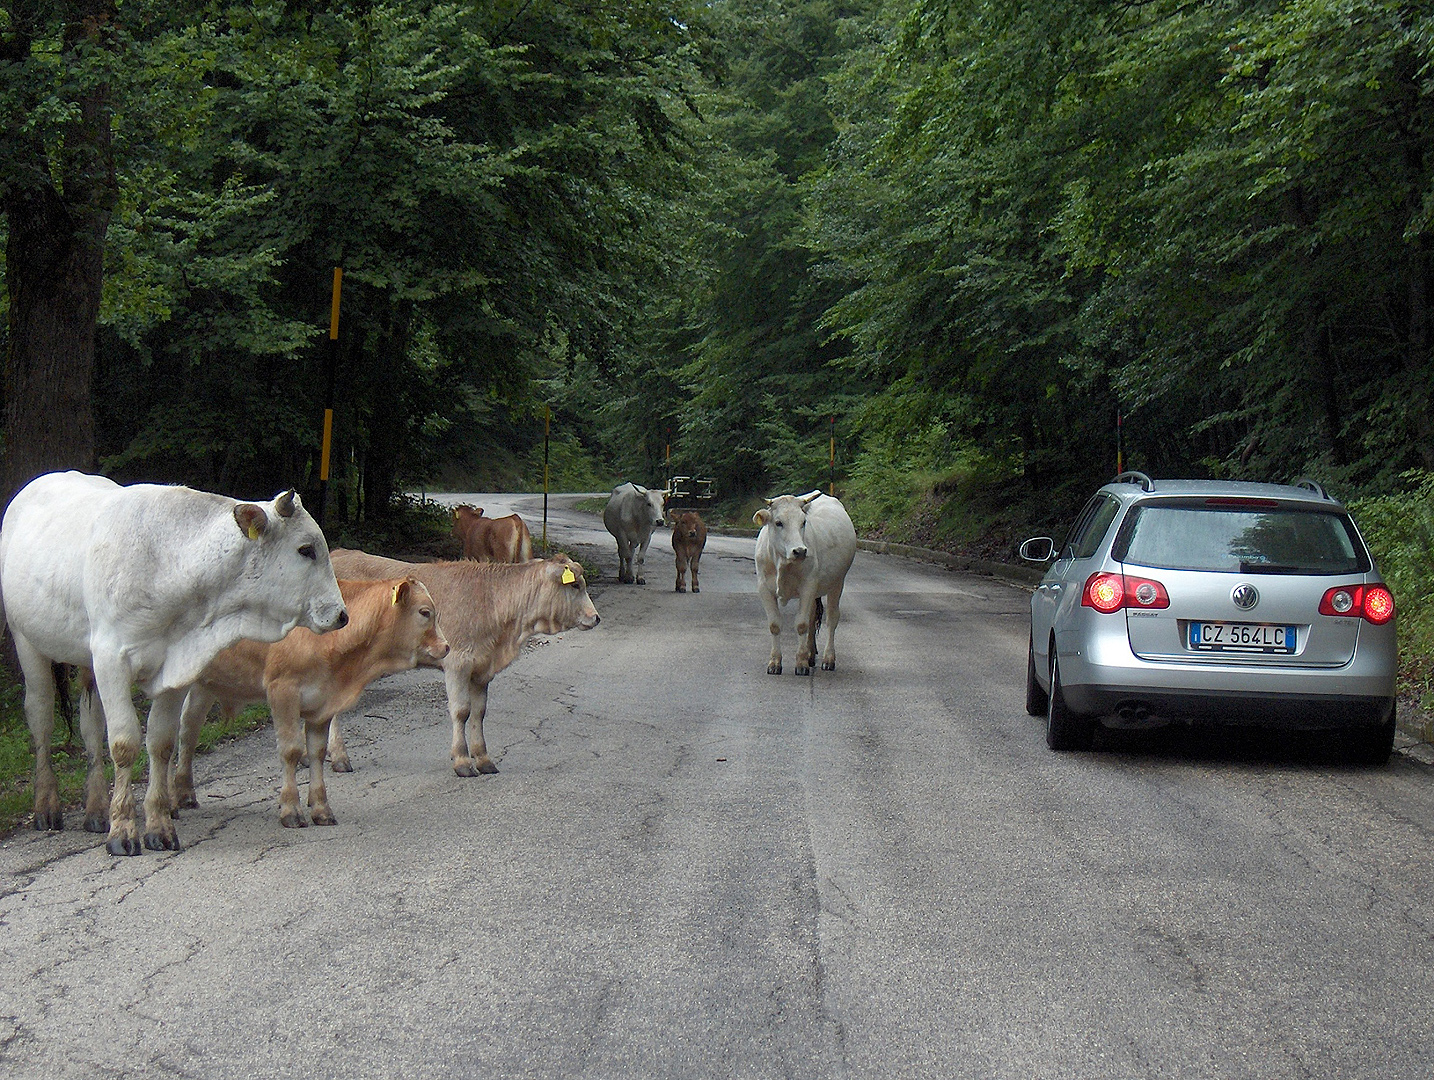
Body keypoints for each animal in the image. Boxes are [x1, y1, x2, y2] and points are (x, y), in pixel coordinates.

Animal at [0, 467, 347, 854]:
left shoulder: (174, 672)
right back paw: (46, 806)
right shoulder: (111, 659)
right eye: (306, 550)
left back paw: (96, 810)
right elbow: (124, 743)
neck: (170, 568)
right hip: (27, 642)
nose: (341, 615)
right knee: (41, 718)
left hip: (86, 662)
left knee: (90, 728)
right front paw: (123, 829)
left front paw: (158, 825)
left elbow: (161, 743)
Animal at [171, 576, 447, 831]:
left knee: (189, 731)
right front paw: (291, 810)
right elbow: (291, 751)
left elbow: (317, 752)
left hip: (203, 685)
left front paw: (321, 809)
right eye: (425, 612)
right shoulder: (283, 691)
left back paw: (184, 793)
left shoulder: (323, 702)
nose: (446, 647)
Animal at [329, 547, 599, 774]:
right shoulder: (457, 663)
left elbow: (479, 712)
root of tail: (339, 553)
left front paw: (483, 758)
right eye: (575, 585)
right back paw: (340, 757)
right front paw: (462, 760)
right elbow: (461, 711)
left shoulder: (482, 668)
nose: (596, 618)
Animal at [757, 490, 854, 674]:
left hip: (837, 582)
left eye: (803, 522)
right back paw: (810, 654)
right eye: (778, 522)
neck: (783, 563)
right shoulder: (764, 588)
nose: (800, 551)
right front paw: (775, 662)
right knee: (812, 616)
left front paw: (800, 664)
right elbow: (774, 625)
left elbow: (801, 625)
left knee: (832, 618)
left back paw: (828, 659)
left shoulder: (807, 587)